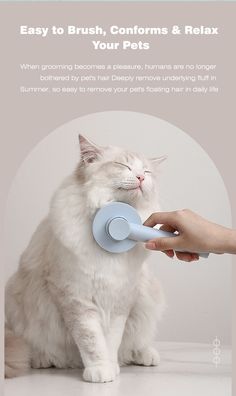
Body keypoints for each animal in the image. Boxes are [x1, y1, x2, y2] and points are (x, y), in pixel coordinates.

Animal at [4, 135, 166, 382]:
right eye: (124, 166)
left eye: (146, 171)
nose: (140, 177)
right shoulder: (76, 299)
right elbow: (92, 341)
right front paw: (100, 370)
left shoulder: (120, 300)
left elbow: (112, 341)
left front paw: (110, 367)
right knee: (37, 347)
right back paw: (42, 359)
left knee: (133, 346)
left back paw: (145, 355)